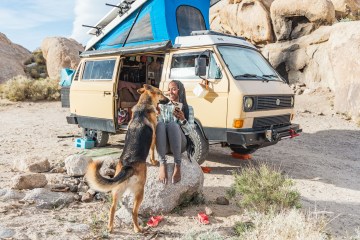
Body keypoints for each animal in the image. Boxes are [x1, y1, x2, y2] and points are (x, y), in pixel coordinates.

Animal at [85, 84, 169, 232]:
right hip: (140, 190)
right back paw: (137, 229)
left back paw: (110, 227)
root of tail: (127, 166)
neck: (142, 106)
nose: (169, 100)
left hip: (117, 191)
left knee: (112, 208)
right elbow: (153, 151)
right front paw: (154, 161)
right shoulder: (153, 138)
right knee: (134, 212)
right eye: (160, 93)